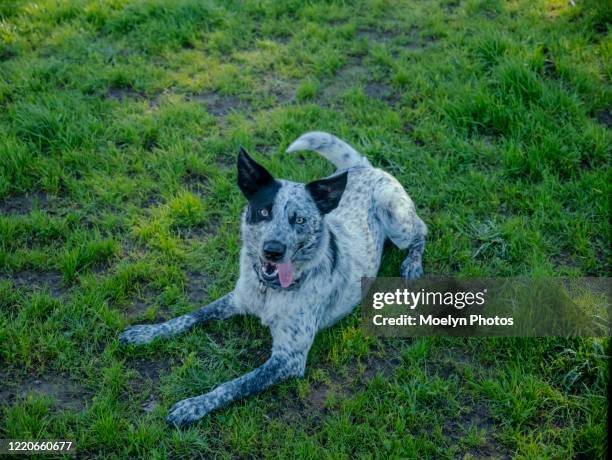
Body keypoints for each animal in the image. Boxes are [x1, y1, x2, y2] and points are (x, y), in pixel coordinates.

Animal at [119, 131, 426, 426]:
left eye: (299, 220)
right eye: (265, 211)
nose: (273, 250)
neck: (270, 290)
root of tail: (363, 167)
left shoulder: (288, 358)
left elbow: (234, 384)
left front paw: (193, 406)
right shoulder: (236, 299)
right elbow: (190, 316)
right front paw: (145, 333)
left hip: (395, 218)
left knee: (422, 229)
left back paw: (412, 265)